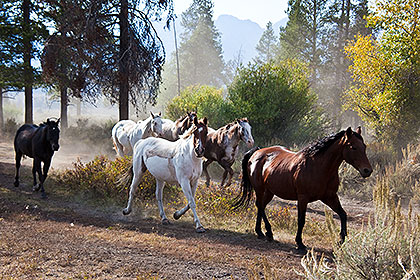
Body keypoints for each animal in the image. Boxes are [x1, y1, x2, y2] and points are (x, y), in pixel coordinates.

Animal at [233, 127, 374, 249]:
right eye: (353, 147)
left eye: (364, 146)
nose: (367, 170)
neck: (319, 166)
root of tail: (256, 153)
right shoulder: (303, 198)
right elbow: (301, 220)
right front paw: (300, 243)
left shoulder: (330, 197)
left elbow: (343, 215)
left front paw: (341, 240)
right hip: (260, 189)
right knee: (260, 206)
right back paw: (268, 232)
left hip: (269, 192)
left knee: (261, 206)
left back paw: (261, 232)